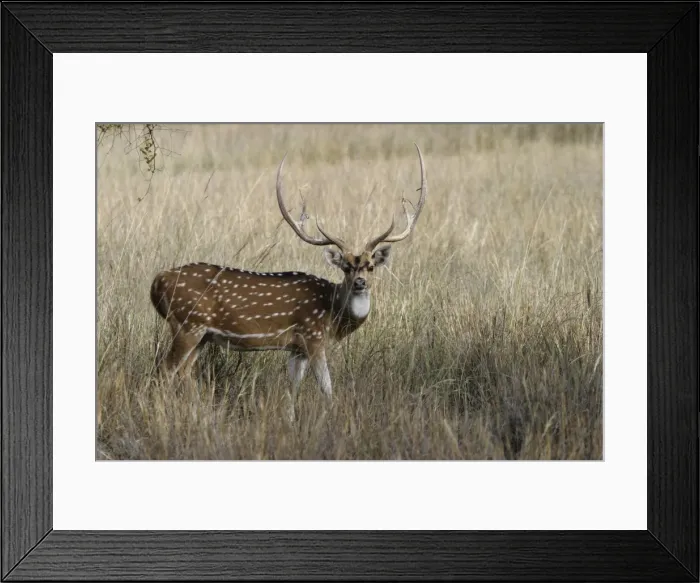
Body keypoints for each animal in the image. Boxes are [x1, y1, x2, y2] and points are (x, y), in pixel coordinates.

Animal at [150, 144, 427, 421]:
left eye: (370, 266)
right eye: (346, 267)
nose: (360, 282)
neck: (332, 312)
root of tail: (157, 282)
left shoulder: (297, 348)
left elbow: (292, 388)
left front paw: (290, 420)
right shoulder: (313, 335)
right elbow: (327, 388)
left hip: (202, 334)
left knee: (184, 371)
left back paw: (201, 415)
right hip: (187, 324)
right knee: (165, 370)